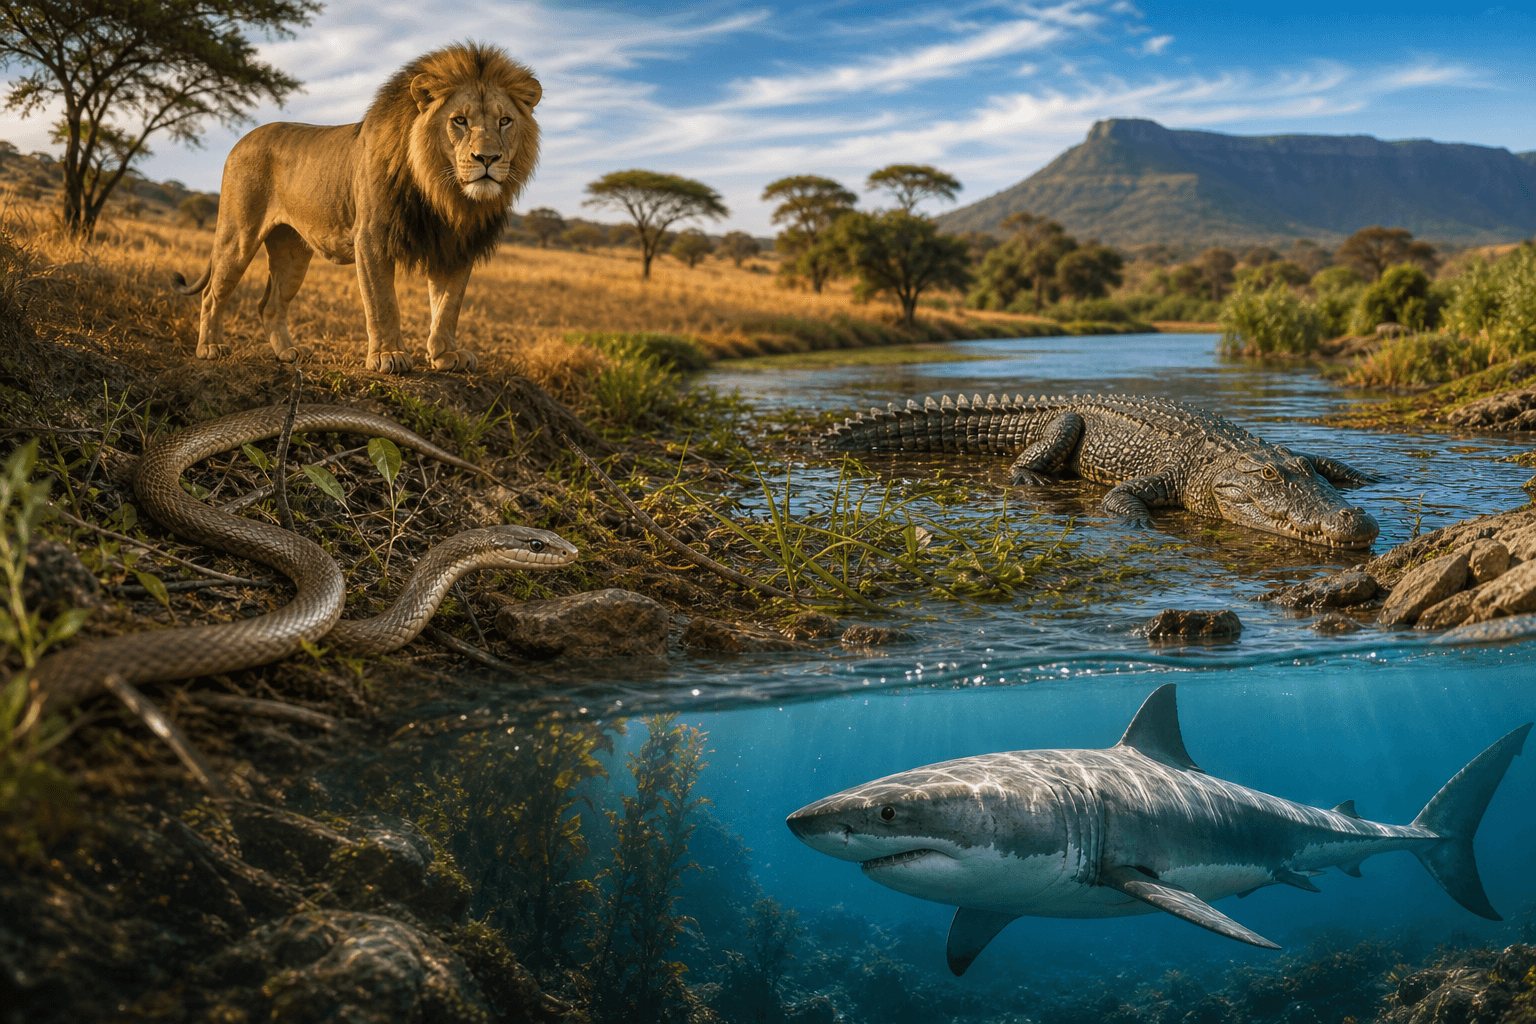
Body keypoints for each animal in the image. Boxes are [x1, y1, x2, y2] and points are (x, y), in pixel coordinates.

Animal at [173, 42, 541, 373]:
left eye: (505, 121)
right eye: (460, 120)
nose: (487, 158)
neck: (444, 193)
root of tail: (241, 140)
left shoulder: (456, 246)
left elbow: (448, 305)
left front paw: (446, 355)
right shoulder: (372, 236)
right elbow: (383, 302)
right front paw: (389, 355)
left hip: (292, 251)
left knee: (269, 304)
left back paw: (288, 352)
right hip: (238, 234)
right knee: (212, 294)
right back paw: (210, 347)